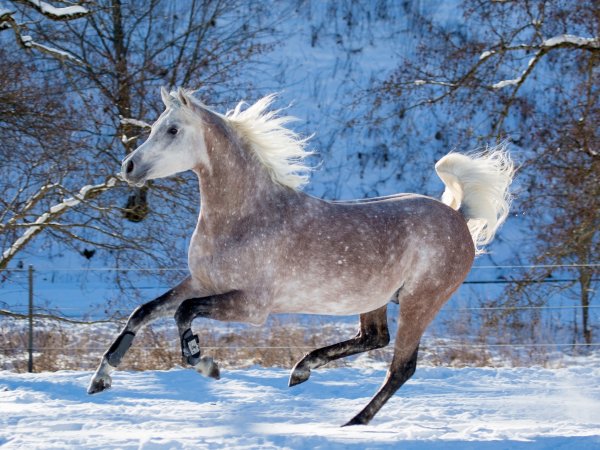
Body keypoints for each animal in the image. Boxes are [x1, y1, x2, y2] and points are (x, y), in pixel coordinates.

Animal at [86, 87, 512, 426]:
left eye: (172, 130)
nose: (128, 167)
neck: (246, 217)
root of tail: (458, 217)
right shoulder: (201, 282)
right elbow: (144, 312)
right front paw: (100, 379)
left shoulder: (251, 307)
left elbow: (182, 313)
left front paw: (206, 364)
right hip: (374, 299)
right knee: (374, 338)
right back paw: (302, 370)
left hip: (420, 301)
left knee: (401, 367)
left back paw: (353, 421)